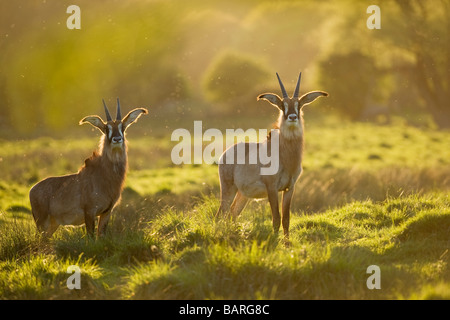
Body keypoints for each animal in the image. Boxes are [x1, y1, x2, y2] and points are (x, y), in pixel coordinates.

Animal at [28, 100, 148, 238]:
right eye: (106, 128)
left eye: (122, 127)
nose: (117, 139)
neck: (105, 175)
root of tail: (32, 190)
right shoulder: (90, 212)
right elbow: (90, 237)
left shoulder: (106, 212)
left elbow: (101, 236)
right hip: (42, 222)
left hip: (53, 224)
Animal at [216, 71, 328, 239]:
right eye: (282, 105)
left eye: (299, 105)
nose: (293, 117)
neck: (286, 156)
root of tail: (225, 153)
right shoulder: (272, 188)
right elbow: (276, 218)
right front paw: (276, 241)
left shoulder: (289, 188)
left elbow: (286, 219)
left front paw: (287, 243)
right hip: (228, 188)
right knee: (220, 214)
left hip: (243, 195)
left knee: (232, 213)